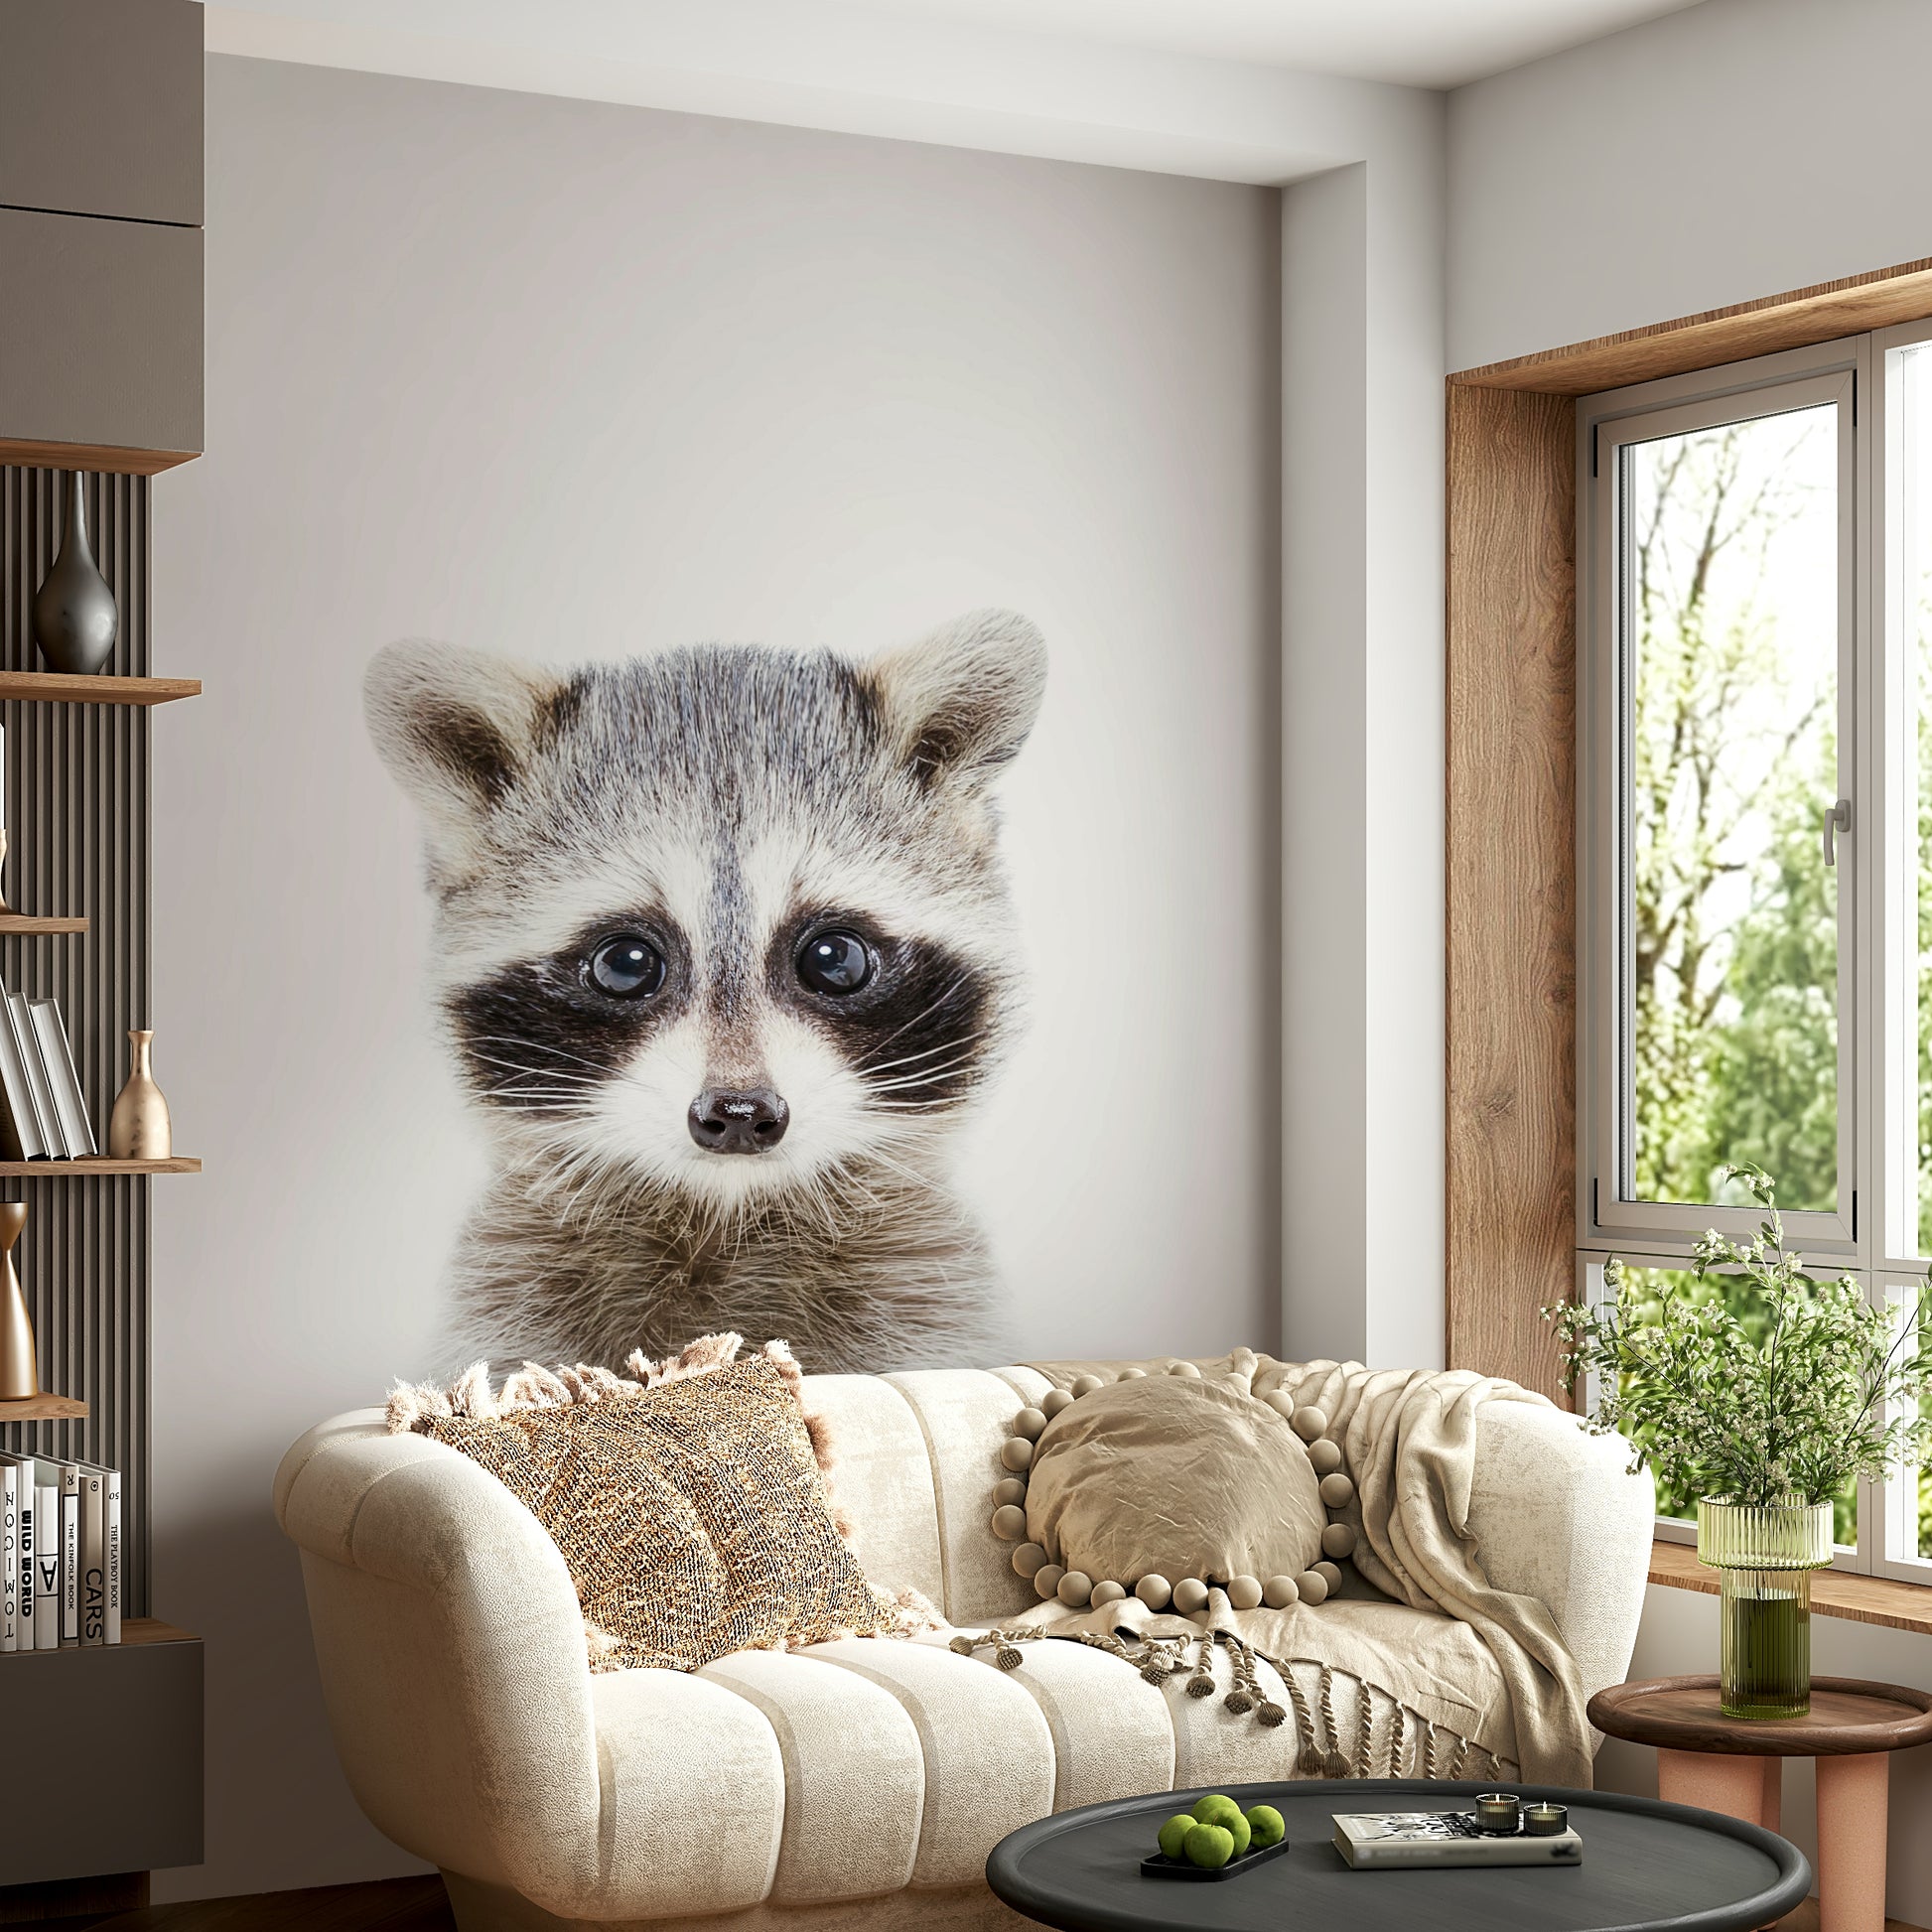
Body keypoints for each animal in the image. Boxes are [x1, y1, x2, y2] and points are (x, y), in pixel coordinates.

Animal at [364, 610, 1046, 1375]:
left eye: (834, 959)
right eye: (626, 964)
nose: (741, 1112)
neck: (724, 1216)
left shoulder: (924, 1301)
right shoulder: (517, 1300)